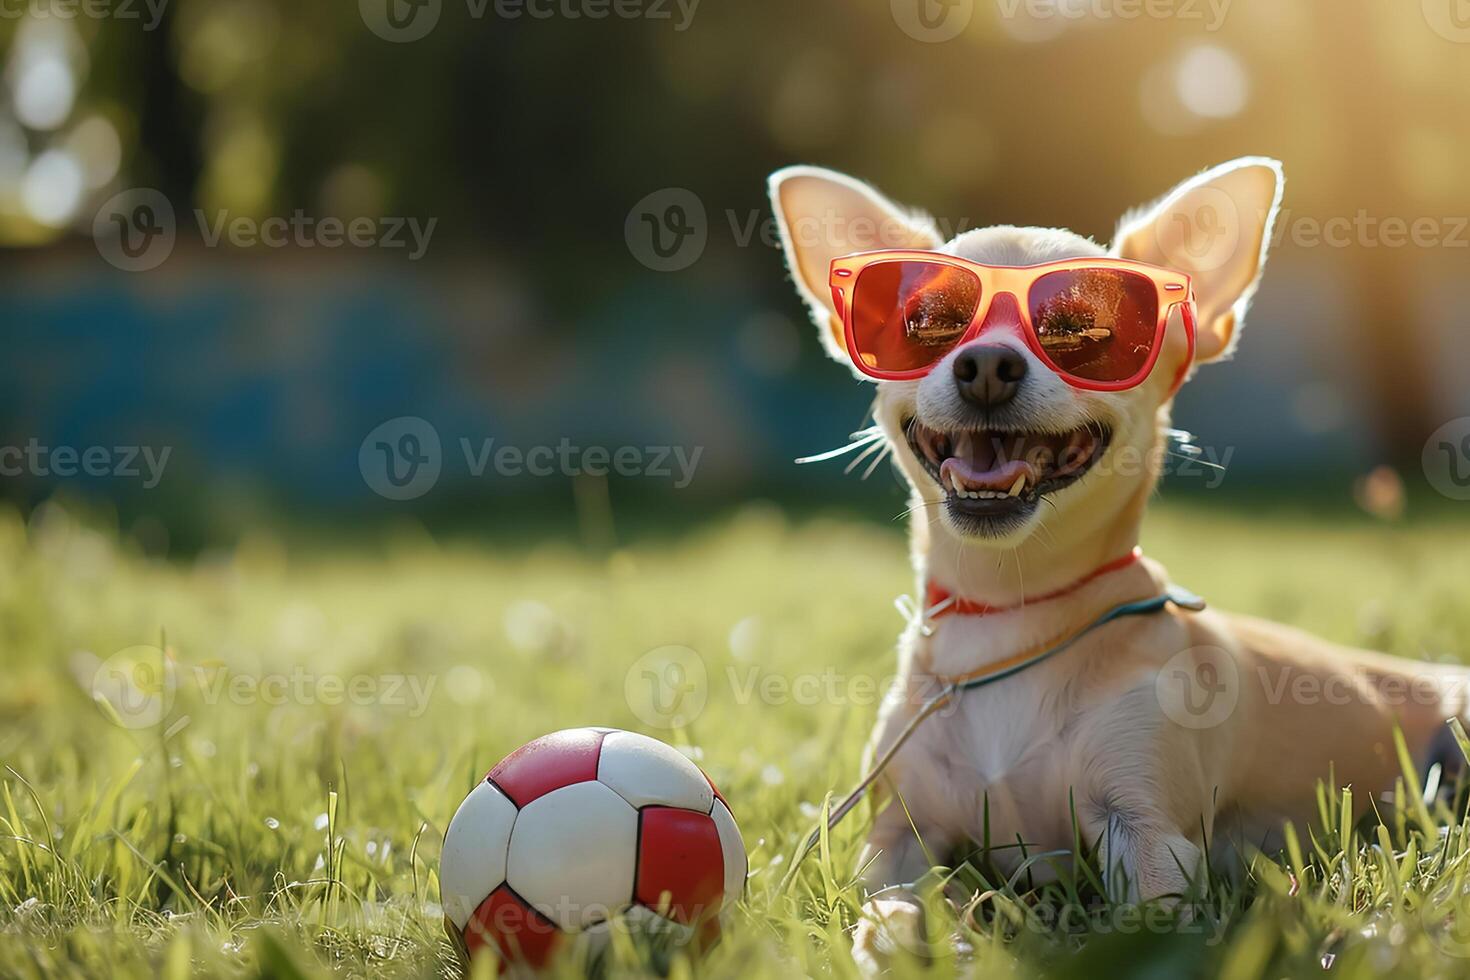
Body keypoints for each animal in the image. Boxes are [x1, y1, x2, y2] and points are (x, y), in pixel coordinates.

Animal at [770, 157, 1470, 969]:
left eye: (1079, 330)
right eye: (932, 322)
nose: (986, 362)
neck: (1010, 609)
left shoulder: (1149, 835)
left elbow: (1142, 927)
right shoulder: (897, 836)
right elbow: (885, 904)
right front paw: (907, 938)